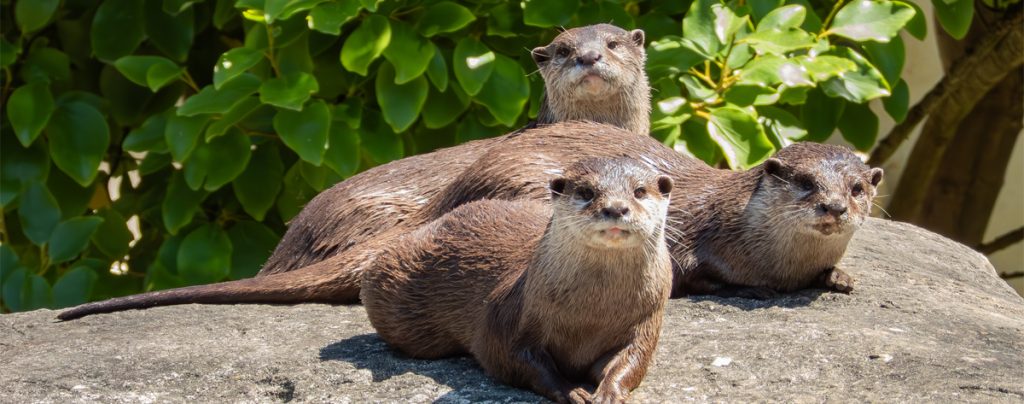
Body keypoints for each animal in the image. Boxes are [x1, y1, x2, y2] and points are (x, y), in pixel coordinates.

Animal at [361, 158, 673, 403]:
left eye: (639, 191)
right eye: (587, 191)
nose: (616, 208)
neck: (592, 314)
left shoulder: (645, 322)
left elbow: (631, 361)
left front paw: (609, 391)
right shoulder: (512, 316)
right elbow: (515, 358)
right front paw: (569, 389)